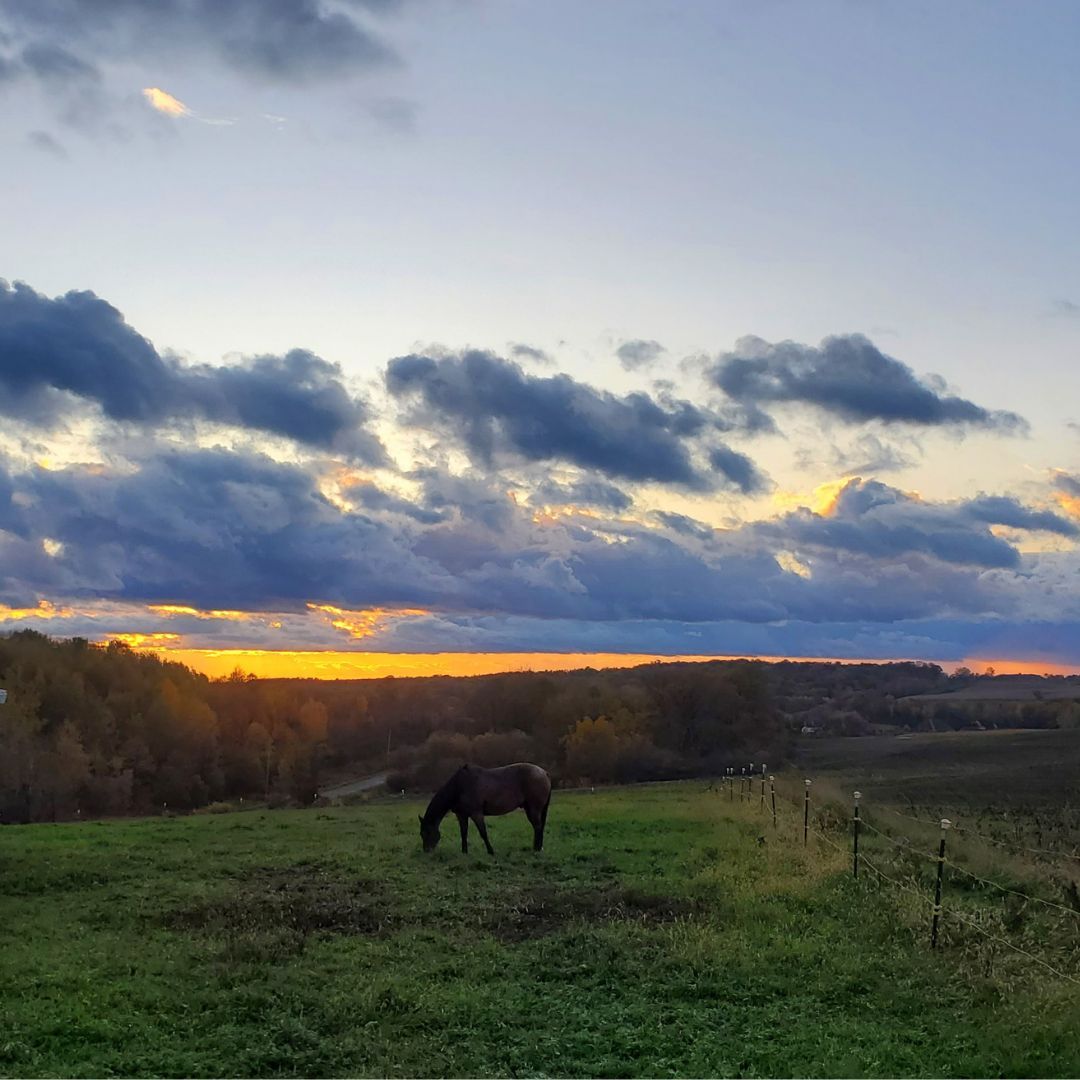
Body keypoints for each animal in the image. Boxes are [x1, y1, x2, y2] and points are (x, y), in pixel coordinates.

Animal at [416, 764, 552, 855]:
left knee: (538, 827)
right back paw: (537, 847)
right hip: (530, 808)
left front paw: (491, 851)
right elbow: (463, 833)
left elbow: (483, 833)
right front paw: (464, 852)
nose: (427, 851)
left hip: (534, 809)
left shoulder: (476, 814)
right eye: (421, 834)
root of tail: (544, 773)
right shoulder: (461, 815)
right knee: (538, 827)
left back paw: (537, 849)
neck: (459, 787)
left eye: (427, 832)